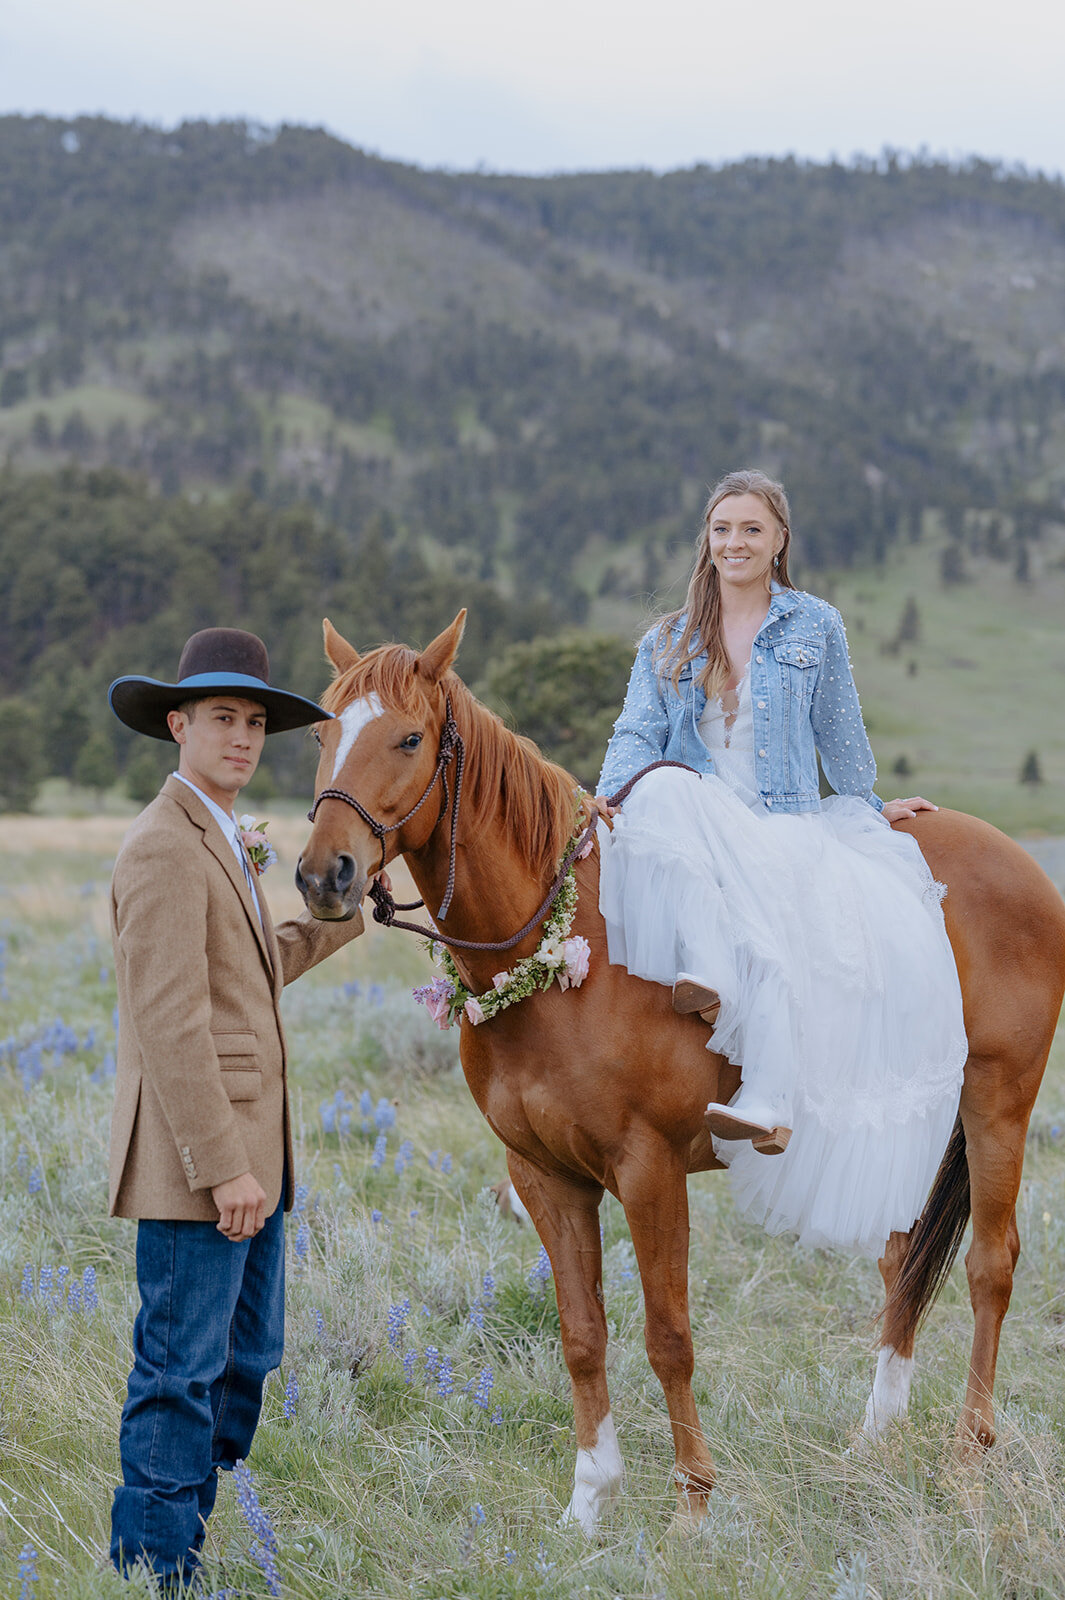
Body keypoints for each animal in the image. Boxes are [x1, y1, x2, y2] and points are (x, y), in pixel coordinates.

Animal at [294, 608, 1061, 1523]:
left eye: (409, 738)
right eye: (322, 733)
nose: (323, 874)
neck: (562, 945)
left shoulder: (648, 1168)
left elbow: (668, 1336)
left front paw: (694, 1499)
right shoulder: (544, 1176)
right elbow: (581, 1335)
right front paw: (589, 1501)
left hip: (996, 1102)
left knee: (989, 1265)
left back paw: (966, 1451)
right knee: (900, 1258)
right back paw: (874, 1436)